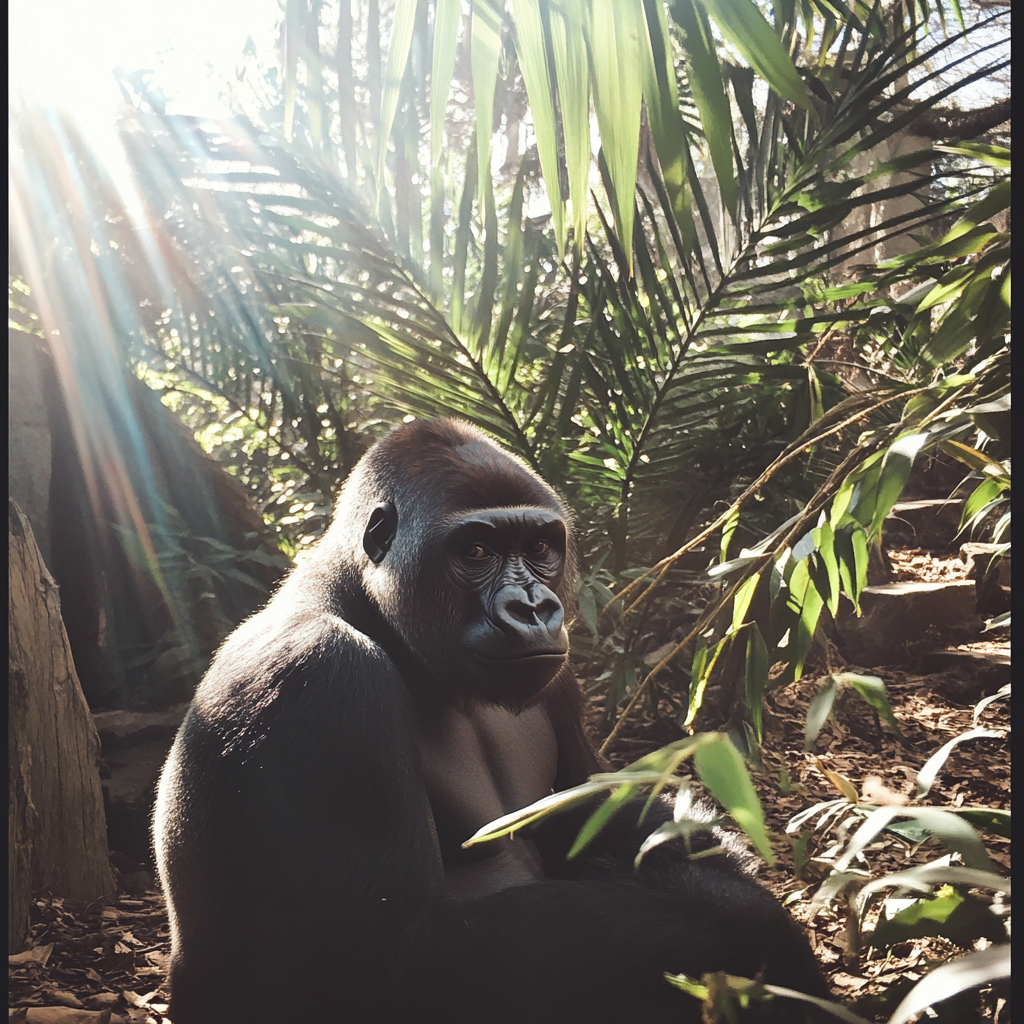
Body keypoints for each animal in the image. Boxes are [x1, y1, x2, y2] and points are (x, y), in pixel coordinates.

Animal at [153, 417, 831, 1024]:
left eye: (539, 549)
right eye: (476, 551)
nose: (533, 608)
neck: (370, 609)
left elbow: (594, 806)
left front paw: (707, 854)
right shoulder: (321, 679)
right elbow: (394, 961)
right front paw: (748, 924)